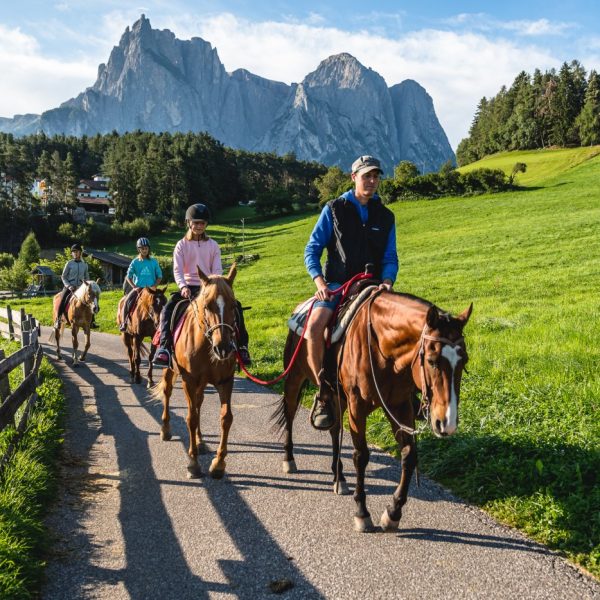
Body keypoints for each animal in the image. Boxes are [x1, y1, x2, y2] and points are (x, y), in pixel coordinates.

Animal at [152, 264, 239, 480]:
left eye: (233, 305)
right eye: (207, 305)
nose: (223, 348)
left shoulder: (226, 381)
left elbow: (226, 418)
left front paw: (218, 464)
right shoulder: (188, 380)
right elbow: (191, 418)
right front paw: (193, 463)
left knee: (198, 404)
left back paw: (200, 441)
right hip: (170, 370)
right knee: (167, 393)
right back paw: (166, 430)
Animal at [272, 292, 474, 532]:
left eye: (464, 361)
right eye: (432, 361)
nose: (447, 423)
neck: (381, 349)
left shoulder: (399, 405)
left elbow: (409, 456)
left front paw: (393, 513)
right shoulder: (357, 406)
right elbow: (361, 456)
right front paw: (362, 512)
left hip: (337, 396)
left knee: (334, 429)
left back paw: (339, 477)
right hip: (295, 378)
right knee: (290, 413)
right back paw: (289, 459)